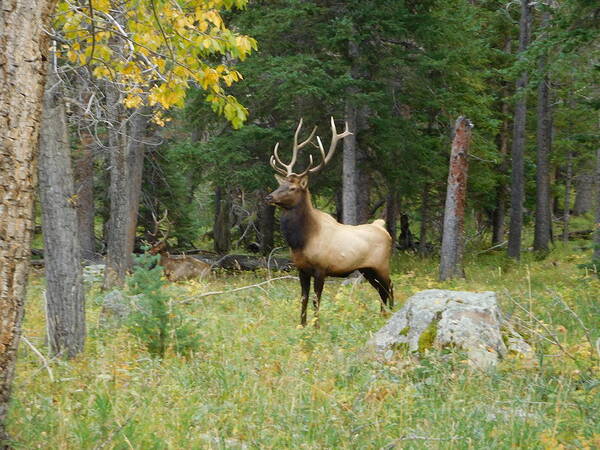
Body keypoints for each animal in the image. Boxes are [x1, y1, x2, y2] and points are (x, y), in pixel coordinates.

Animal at [266, 118, 394, 326]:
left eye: (292, 188)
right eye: (280, 184)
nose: (269, 197)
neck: (301, 240)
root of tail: (381, 226)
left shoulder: (321, 268)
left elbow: (316, 300)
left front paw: (316, 327)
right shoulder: (301, 269)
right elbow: (303, 298)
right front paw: (302, 325)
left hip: (381, 265)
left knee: (390, 287)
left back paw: (390, 314)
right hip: (367, 270)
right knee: (381, 291)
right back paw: (382, 315)